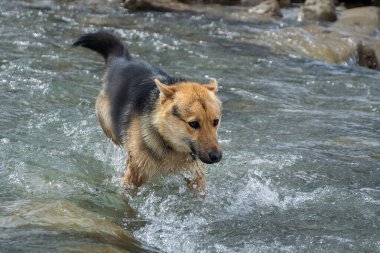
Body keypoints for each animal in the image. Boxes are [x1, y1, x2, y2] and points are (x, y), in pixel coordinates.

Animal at [72, 31, 223, 190]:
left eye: (215, 122)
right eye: (193, 124)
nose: (217, 156)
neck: (168, 143)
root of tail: (122, 60)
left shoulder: (196, 175)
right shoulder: (134, 175)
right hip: (110, 127)